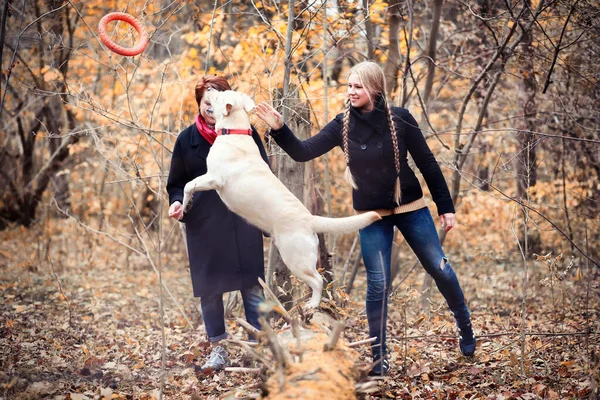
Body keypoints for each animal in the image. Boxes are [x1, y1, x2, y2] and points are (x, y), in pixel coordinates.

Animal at [180, 91, 382, 310]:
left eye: (218, 96)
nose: (208, 91)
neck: (234, 130)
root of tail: (310, 219)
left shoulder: (214, 178)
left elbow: (188, 185)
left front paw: (185, 206)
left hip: (295, 258)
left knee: (317, 280)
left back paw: (312, 304)